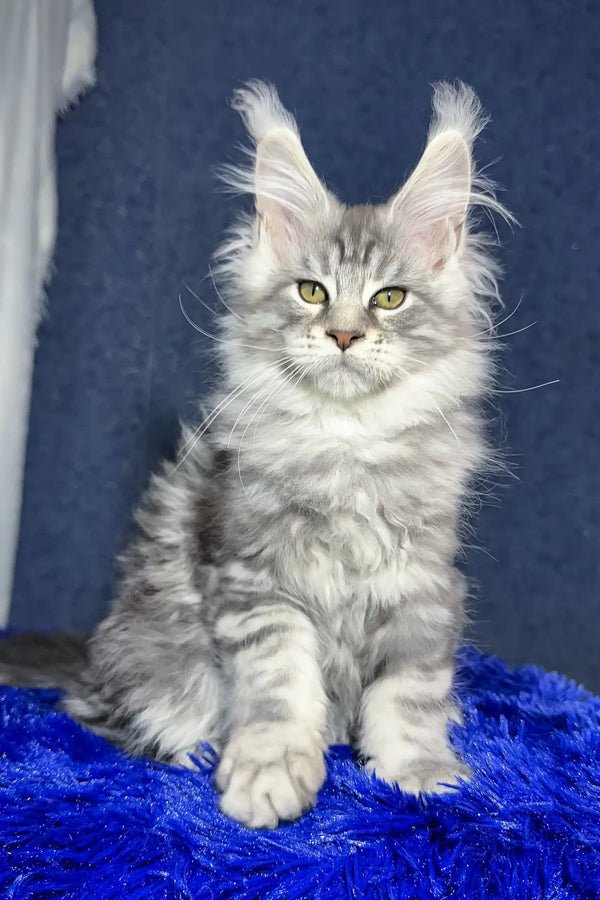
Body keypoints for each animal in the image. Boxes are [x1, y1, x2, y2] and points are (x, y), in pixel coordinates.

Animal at [1, 81, 506, 828]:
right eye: (312, 291)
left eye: (389, 298)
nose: (345, 335)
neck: (343, 445)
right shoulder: (256, 581)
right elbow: (280, 688)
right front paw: (271, 772)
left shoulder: (423, 589)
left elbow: (408, 695)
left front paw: (422, 773)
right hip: (150, 661)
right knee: (108, 713)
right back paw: (193, 749)